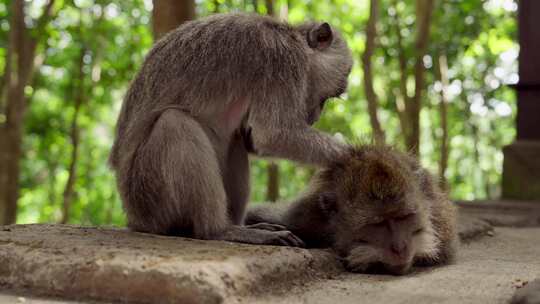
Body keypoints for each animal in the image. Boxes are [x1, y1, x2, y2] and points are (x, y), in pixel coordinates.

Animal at [109, 13, 354, 247]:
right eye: (328, 97)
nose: (314, 117)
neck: (291, 36)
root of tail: (134, 219)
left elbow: (251, 141)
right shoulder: (280, 61)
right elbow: (274, 134)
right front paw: (352, 154)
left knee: (233, 142)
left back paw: (241, 225)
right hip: (147, 195)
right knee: (175, 123)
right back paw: (219, 231)